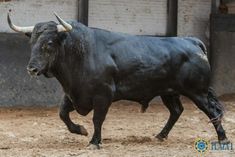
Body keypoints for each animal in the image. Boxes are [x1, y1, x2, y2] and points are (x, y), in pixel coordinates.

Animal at [7, 13, 229, 148]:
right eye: (32, 42)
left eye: (49, 43)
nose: (32, 69)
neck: (81, 53)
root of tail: (192, 41)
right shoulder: (73, 94)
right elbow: (62, 114)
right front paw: (80, 130)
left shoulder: (103, 95)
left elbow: (98, 118)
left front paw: (95, 142)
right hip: (169, 92)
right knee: (176, 111)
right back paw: (160, 136)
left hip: (197, 92)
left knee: (213, 111)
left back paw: (223, 139)